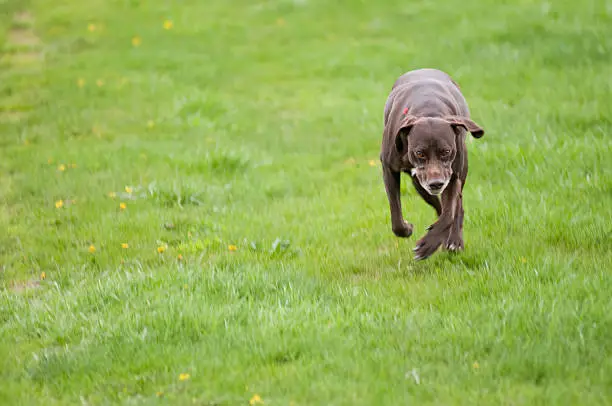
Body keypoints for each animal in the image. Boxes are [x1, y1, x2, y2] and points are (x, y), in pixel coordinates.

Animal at [380, 68, 486, 260]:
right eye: (419, 153)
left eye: (446, 151)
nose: (436, 183)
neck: (428, 110)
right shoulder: (389, 169)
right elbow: (396, 216)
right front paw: (407, 228)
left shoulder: (452, 176)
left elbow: (449, 213)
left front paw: (429, 243)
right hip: (419, 183)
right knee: (436, 204)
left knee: (456, 207)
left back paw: (453, 240)